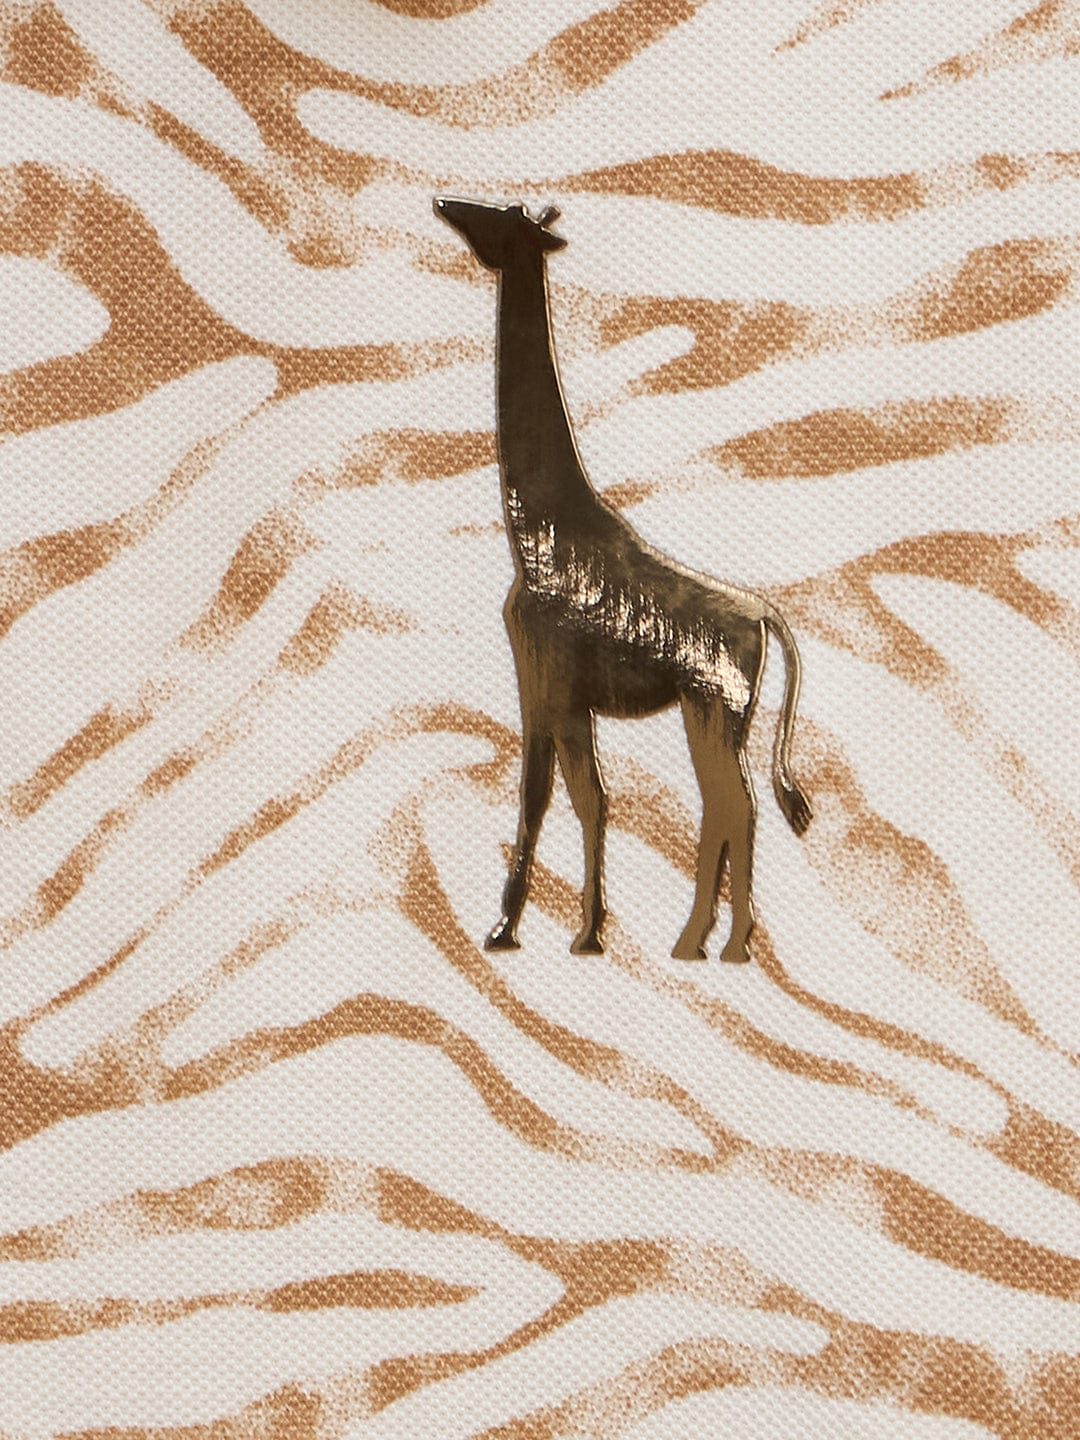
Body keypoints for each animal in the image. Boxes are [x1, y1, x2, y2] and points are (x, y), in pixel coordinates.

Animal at [435, 196, 812, 963]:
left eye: (500, 218)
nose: (444, 205)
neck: (537, 532)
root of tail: (765, 617)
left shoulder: (551, 680)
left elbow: (567, 794)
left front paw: (556, 930)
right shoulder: (550, 688)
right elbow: (563, 794)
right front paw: (541, 928)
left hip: (713, 708)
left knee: (735, 804)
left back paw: (722, 944)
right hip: (716, 715)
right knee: (730, 805)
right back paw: (700, 941)